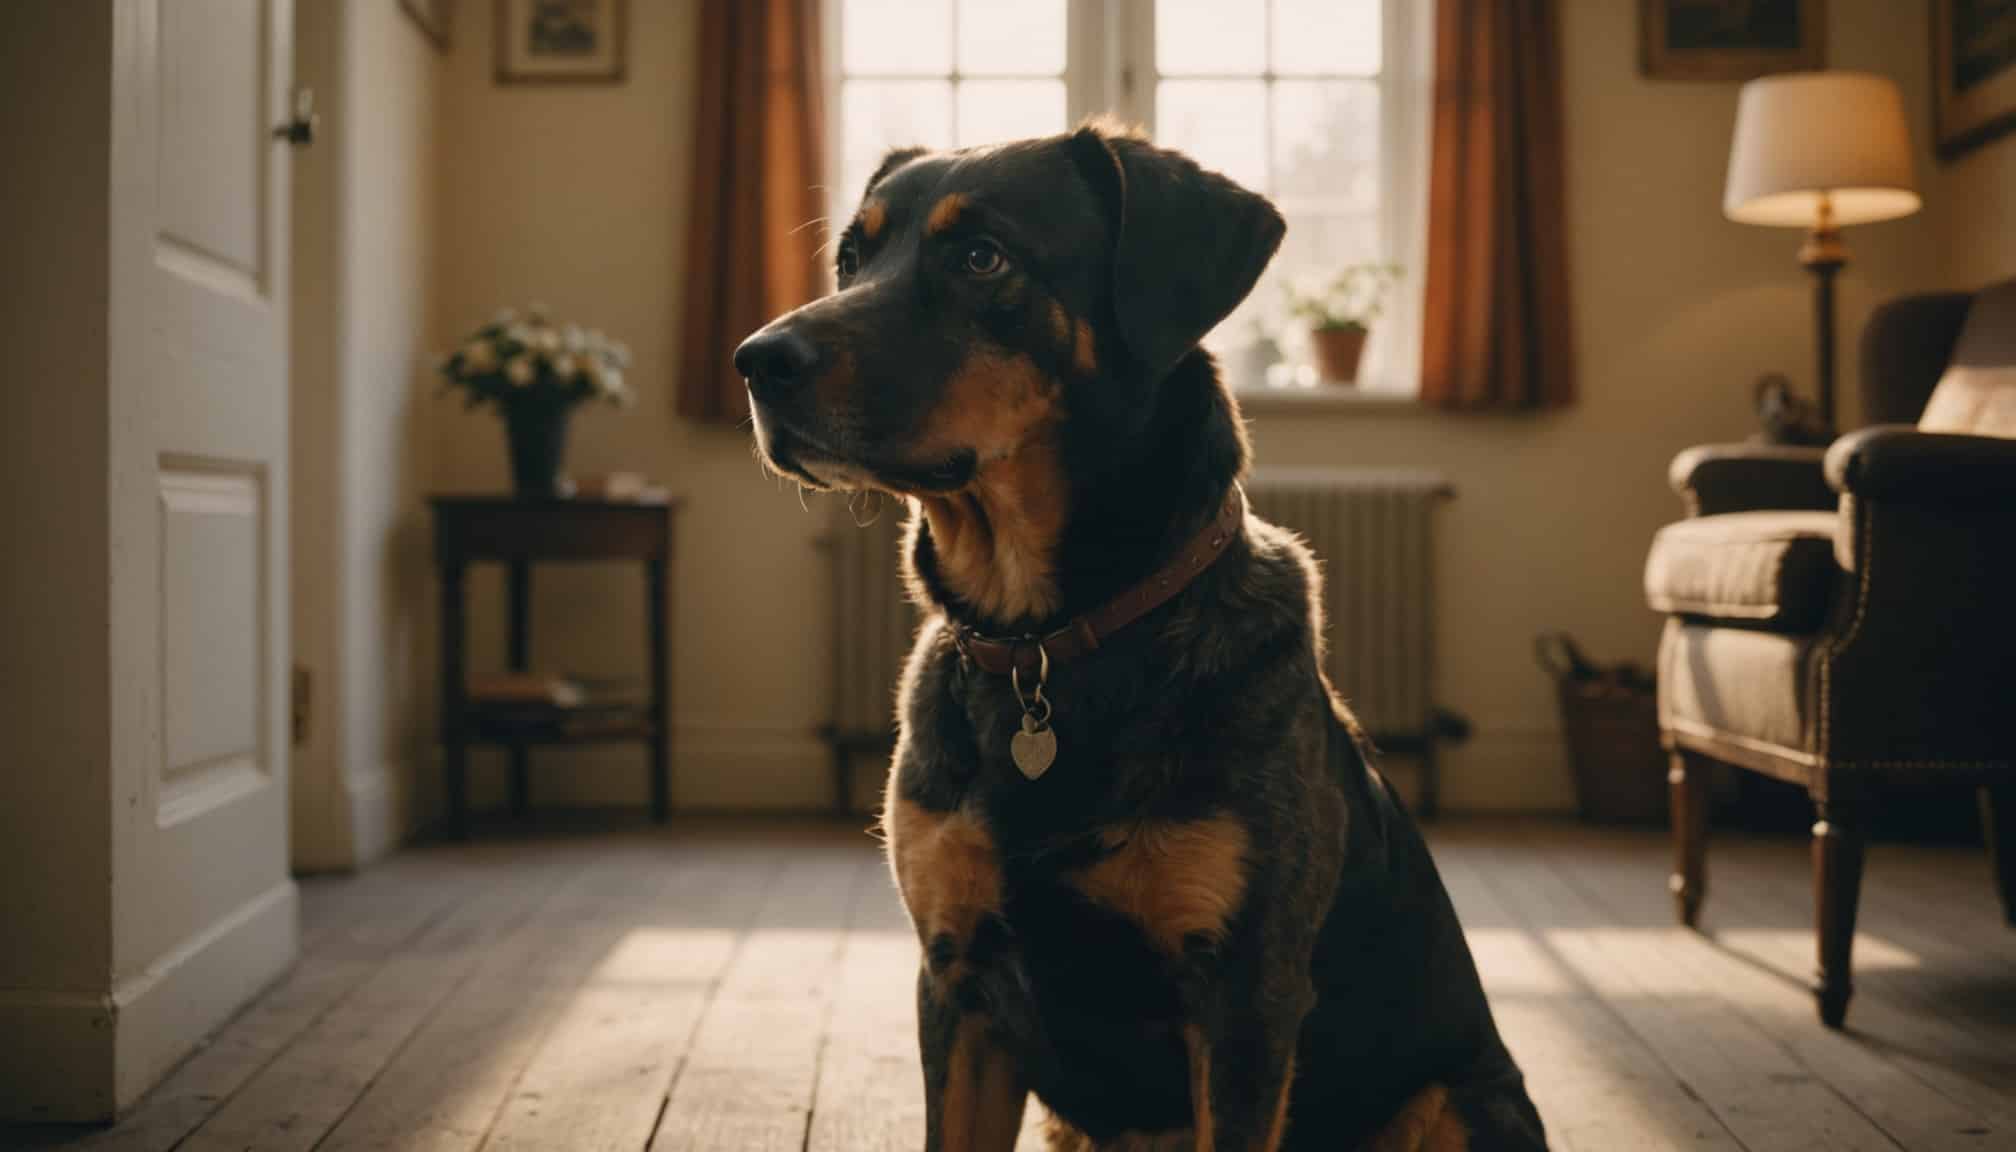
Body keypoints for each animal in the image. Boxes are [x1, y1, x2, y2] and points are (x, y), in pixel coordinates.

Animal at [737, 121, 1540, 1145]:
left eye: (982, 257)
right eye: (850, 258)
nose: (757, 360)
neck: (1047, 640)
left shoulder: (1244, 1003)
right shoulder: (957, 980)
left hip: (1455, 1099)